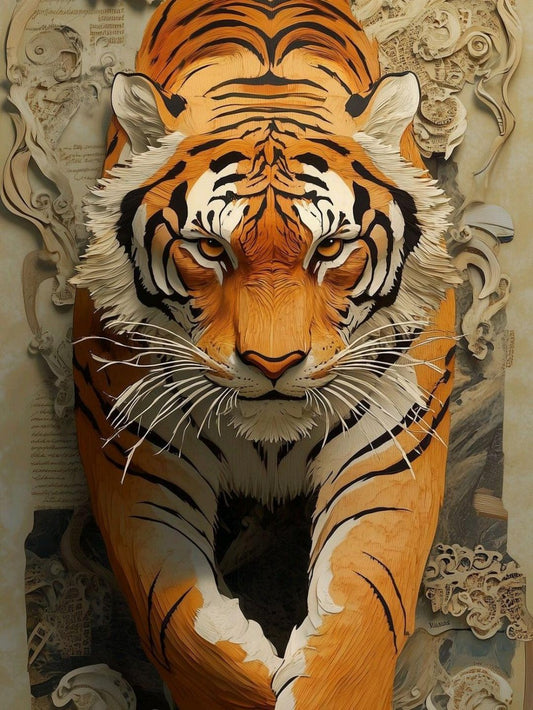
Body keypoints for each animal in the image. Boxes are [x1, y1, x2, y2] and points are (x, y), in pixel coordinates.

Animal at [72, 0, 458, 708]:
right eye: (210, 249)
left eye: (329, 249)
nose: (274, 366)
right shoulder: (137, 465)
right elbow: (182, 625)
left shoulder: (390, 457)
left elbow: (363, 618)